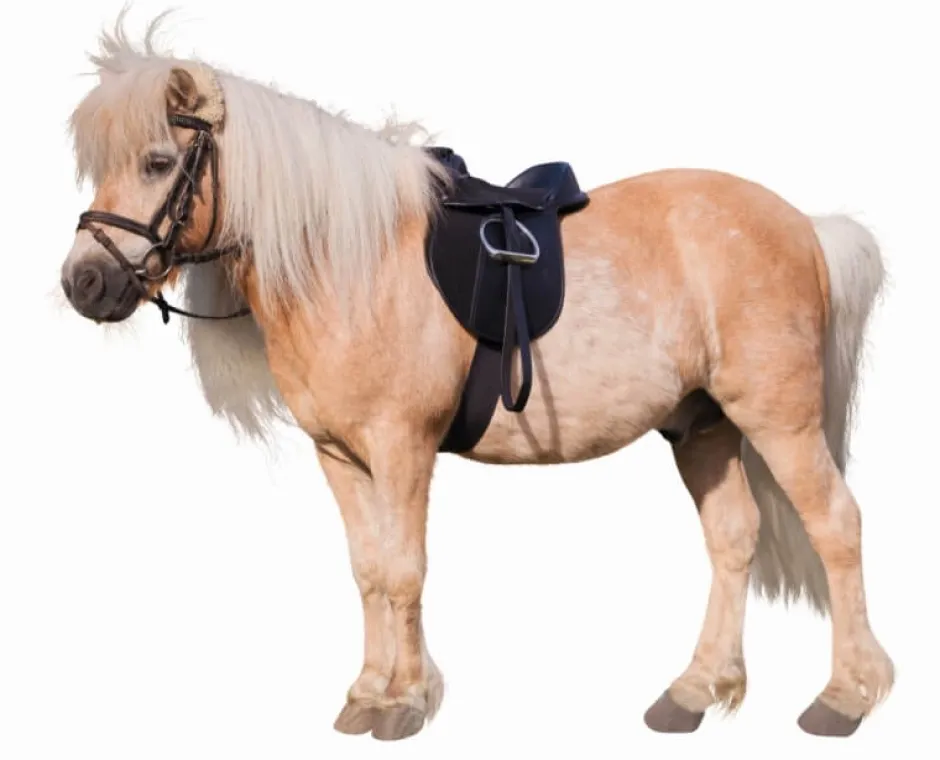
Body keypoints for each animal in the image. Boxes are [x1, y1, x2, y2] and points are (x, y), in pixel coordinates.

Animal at [57, 15, 894, 742]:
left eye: (158, 161)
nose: (84, 283)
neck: (350, 259)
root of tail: (806, 227)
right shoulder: (339, 455)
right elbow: (368, 571)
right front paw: (367, 694)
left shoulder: (402, 447)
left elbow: (403, 571)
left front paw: (403, 704)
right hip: (702, 425)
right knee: (733, 538)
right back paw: (692, 692)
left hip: (779, 420)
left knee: (836, 525)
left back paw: (845, 698)